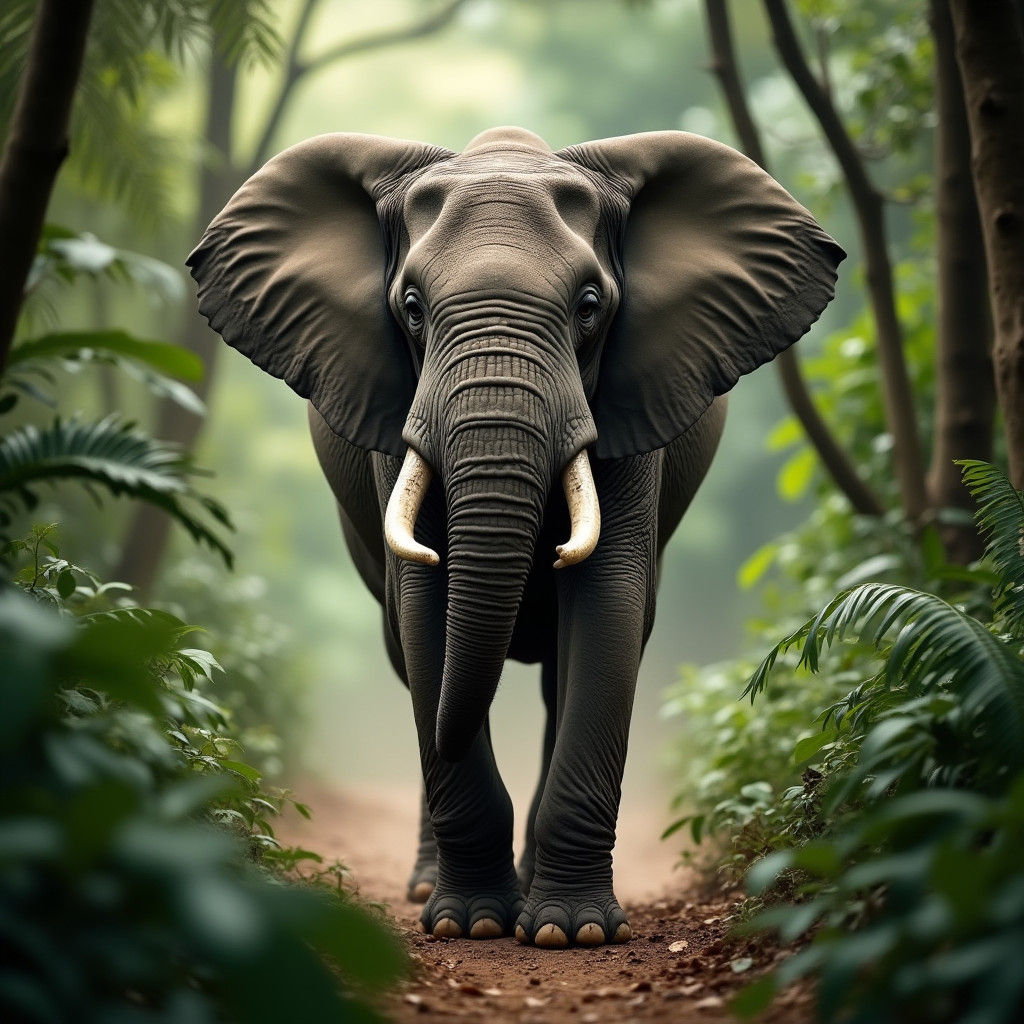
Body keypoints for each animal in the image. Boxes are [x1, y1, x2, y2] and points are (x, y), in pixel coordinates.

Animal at [188, 126, 844, 949]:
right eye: (410, 308)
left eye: (590, 308)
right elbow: (426, 608)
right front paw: (467, 924)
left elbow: (607, 603)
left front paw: (571, 932)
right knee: (413, 655)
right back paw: (432, 884)